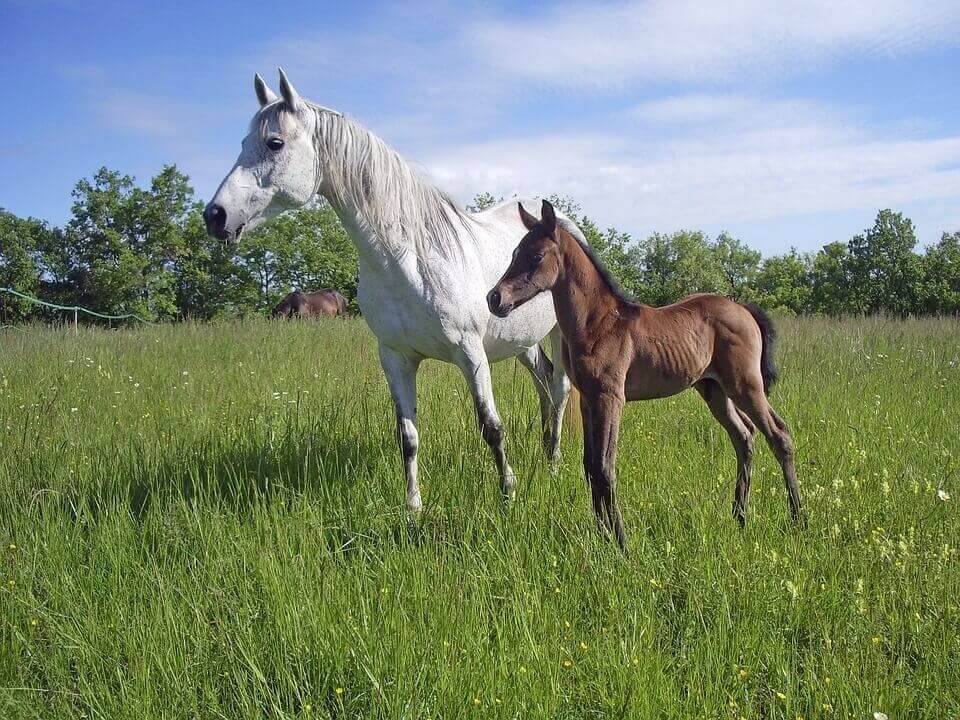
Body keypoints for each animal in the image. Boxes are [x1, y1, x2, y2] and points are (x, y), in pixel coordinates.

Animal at [205, 69, 580, 512]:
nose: (215, 216)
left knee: (559, 388)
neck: (410, 259)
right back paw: (545, 450)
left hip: (558, 334)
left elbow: (491, 426)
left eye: (274, 142)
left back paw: (553, 463)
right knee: (544, 384)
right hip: (523, 341)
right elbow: (408, 436)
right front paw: (413, 508)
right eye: (243, 143)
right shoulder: (395, 357)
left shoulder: (470, 352)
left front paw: (508, 493)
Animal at [488, 200, 804, 548]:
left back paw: (797, 518)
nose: (495, 298)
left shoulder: (611, 397)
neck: (597, 323)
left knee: (779, 435)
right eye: (515, 252)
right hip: (714, 390)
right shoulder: (588, 399)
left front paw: (621, 543)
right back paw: (740, 517)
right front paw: (601, 536)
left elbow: (605, 466)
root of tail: (744, 309)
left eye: (536, 255)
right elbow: (589, 466)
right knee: (744, 436)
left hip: (745, 385)